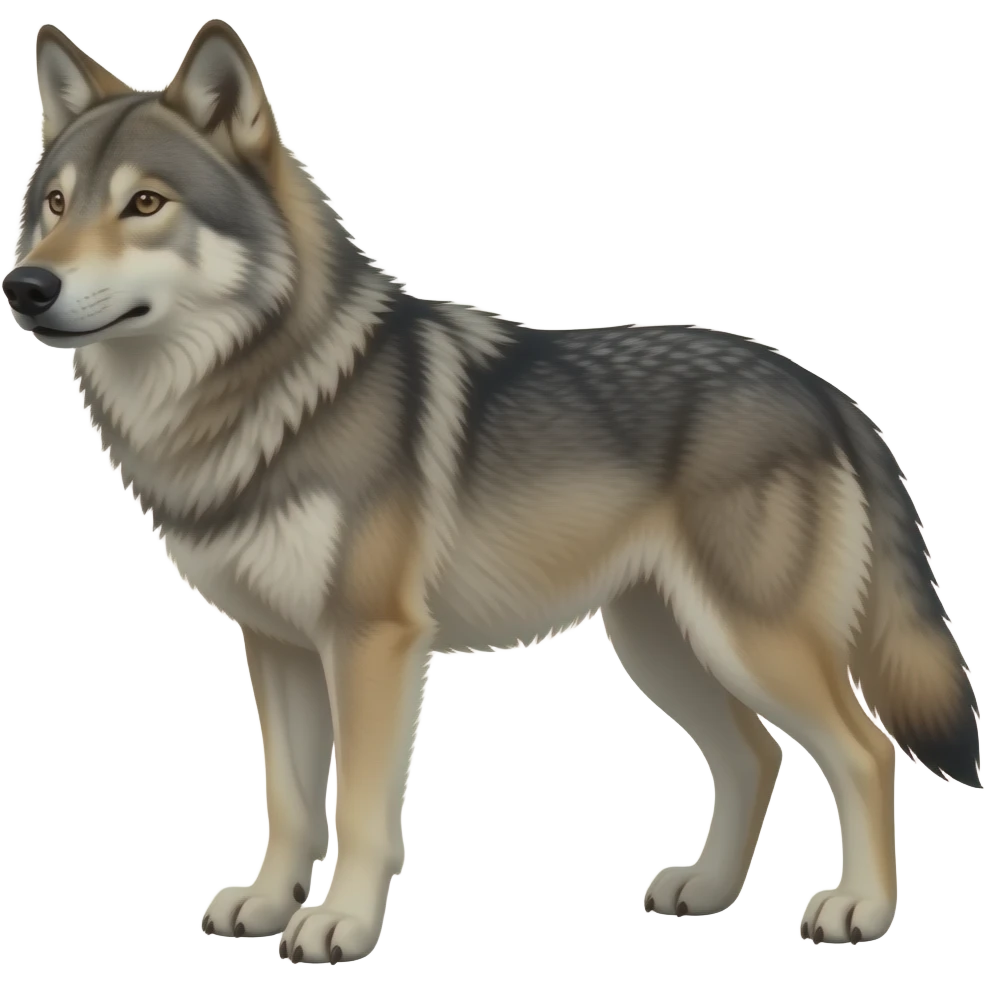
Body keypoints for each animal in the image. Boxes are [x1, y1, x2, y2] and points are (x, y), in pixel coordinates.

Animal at [4, 18, 980, 964]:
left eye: (145, 204)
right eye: (54, 204)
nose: (27, 285)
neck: (260, 393)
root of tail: (821, 389)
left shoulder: (371, 642)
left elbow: (356, 806)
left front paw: (339, 924)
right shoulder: (275, 643)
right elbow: (289, 798)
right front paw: (267, 901)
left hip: (749, 641)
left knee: (863, 749)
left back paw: (858, 908)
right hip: (663, 645)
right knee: (754, 753)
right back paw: (704, 891)